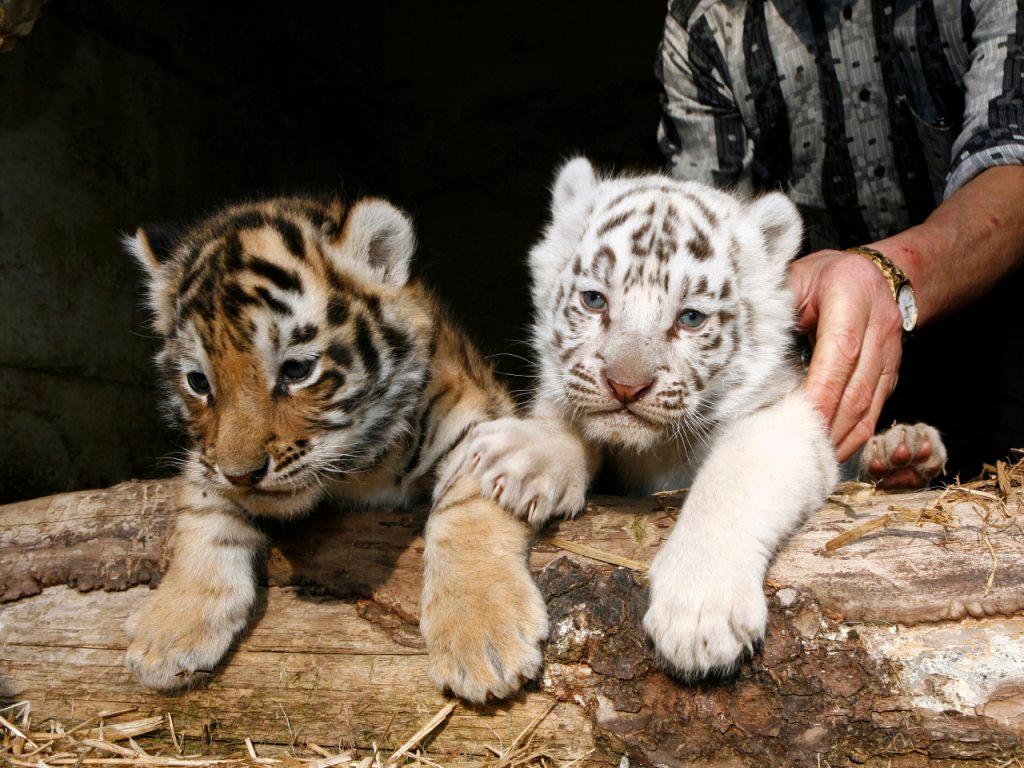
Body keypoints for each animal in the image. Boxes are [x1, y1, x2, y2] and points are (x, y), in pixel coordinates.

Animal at [123, 195, 548, 703]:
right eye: (198, 382)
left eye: (296, 370)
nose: (242, 474)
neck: (362, 468)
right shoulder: (205, 457)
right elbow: (204, 513)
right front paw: (168, 631)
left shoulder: (484, 421)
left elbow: (465, 510)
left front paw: (482, 637)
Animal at [466, 157, 943, 677]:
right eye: (595, 300)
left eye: (690, 318)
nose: (626, 385)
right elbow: (566, 414)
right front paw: (526, 456)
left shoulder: (780, 418)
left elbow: (729, 485)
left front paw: (699, 616)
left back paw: (904, 453)